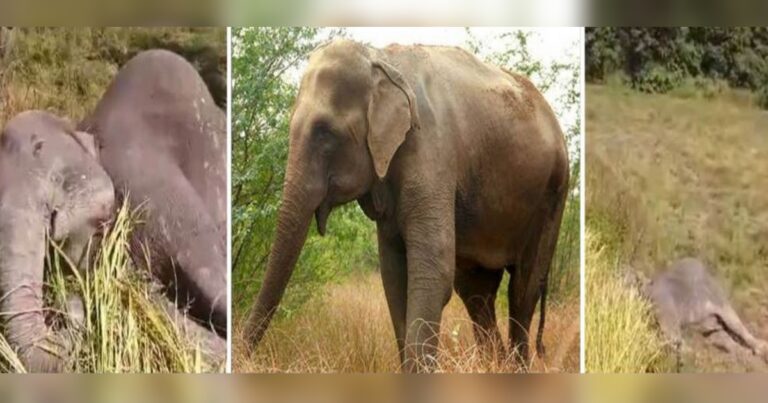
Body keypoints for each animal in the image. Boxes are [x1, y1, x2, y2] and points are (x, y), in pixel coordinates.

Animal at [245, 39, 569, 372]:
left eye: (325, 131)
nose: (243, 357)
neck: (380, 59)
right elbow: (393, 276)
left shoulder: (431, 149)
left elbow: (433, 271)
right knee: (476, 292)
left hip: (552, 194)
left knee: (522, 289)